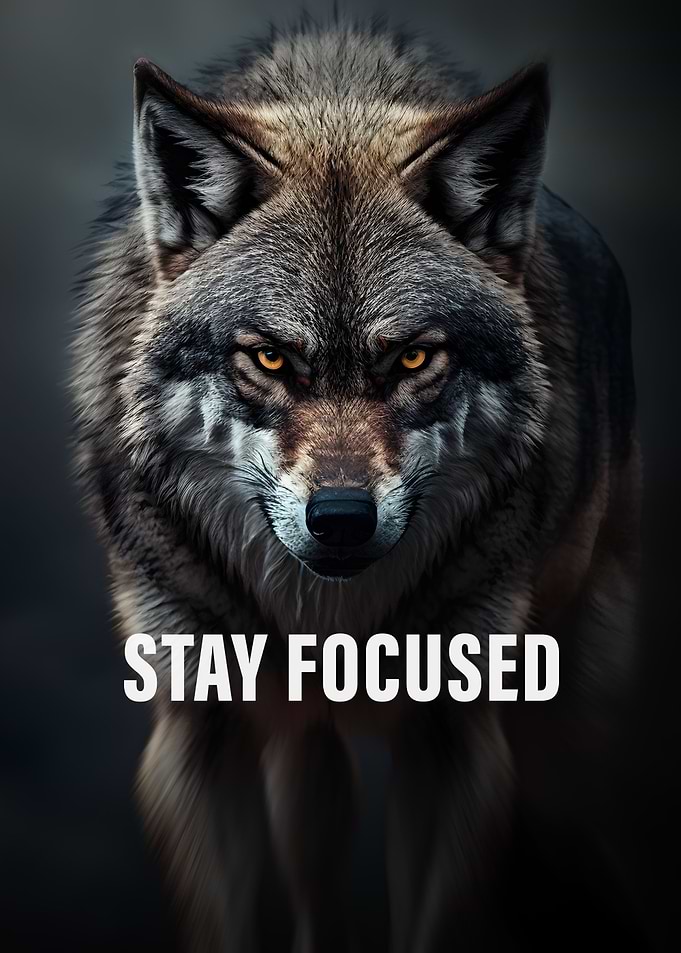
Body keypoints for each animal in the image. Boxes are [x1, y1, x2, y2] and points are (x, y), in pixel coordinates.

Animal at [72, 15, 640, 953]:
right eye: (269, 357)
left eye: (412, 357)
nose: (340, 518)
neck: (330, 615)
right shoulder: (198, 731)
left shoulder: (454, 737)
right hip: (310, 749)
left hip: (572, 698)